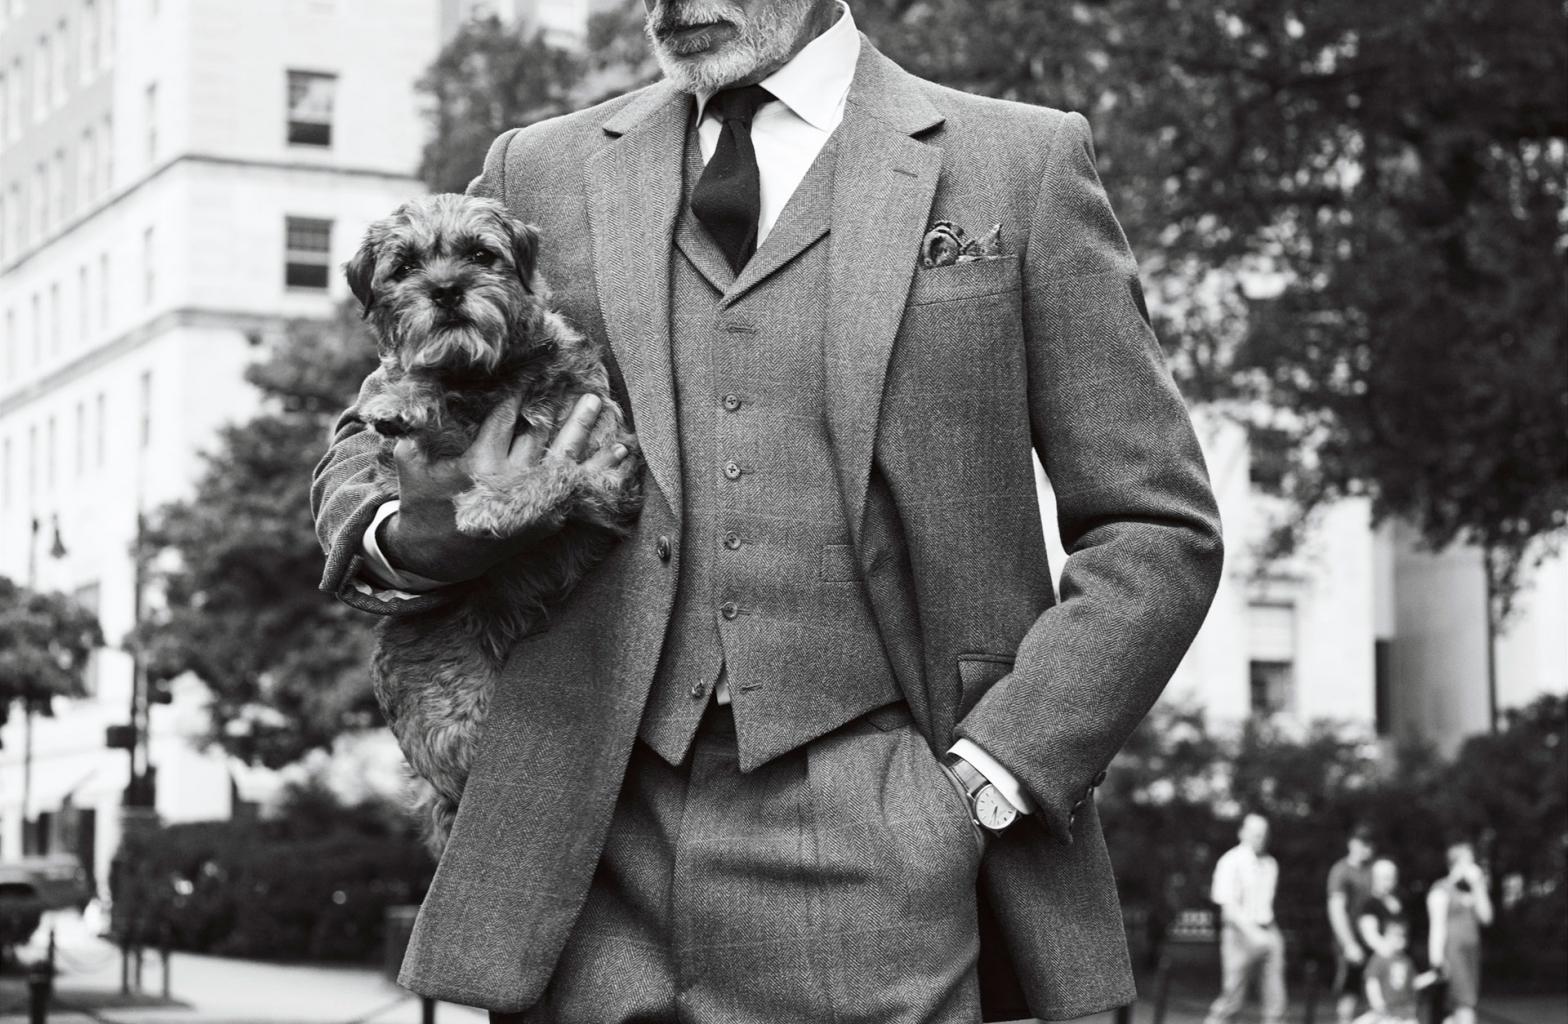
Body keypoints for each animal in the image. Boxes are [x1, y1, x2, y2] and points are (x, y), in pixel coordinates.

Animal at [346, 196, 639, 853]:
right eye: (405, 267)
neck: (484, 378)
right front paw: (404, 398)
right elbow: (410, 402)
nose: (447, 291)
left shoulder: (609, 467)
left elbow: (556, 472)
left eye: (482, 254)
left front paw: (495, 502)